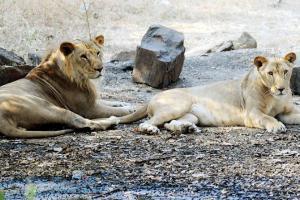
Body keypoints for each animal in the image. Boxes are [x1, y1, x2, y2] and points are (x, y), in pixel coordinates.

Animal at [0, 34, 131, 138]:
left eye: (98, 53)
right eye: (83, 56)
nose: (100, 68)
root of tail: (3, 121)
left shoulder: (91, 101)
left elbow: (109, 101)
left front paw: (126, 104)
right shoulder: (89, 109)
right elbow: (115, 110)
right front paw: (128, 109)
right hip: (45, 105)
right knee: (81, 122)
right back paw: (112, 120)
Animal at [107, 52, 300, 134]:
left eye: (285, 72)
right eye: (270, 73)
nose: (281, 89)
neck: (273, 97)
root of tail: (153, 96)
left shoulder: (287, 112)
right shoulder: (252, 114)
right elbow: (268, 118)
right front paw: (276, 126)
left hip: (191, 115)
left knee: (170, 124)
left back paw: (186, 128)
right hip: (178, 104)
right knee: (147, 122)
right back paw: (150, 129)